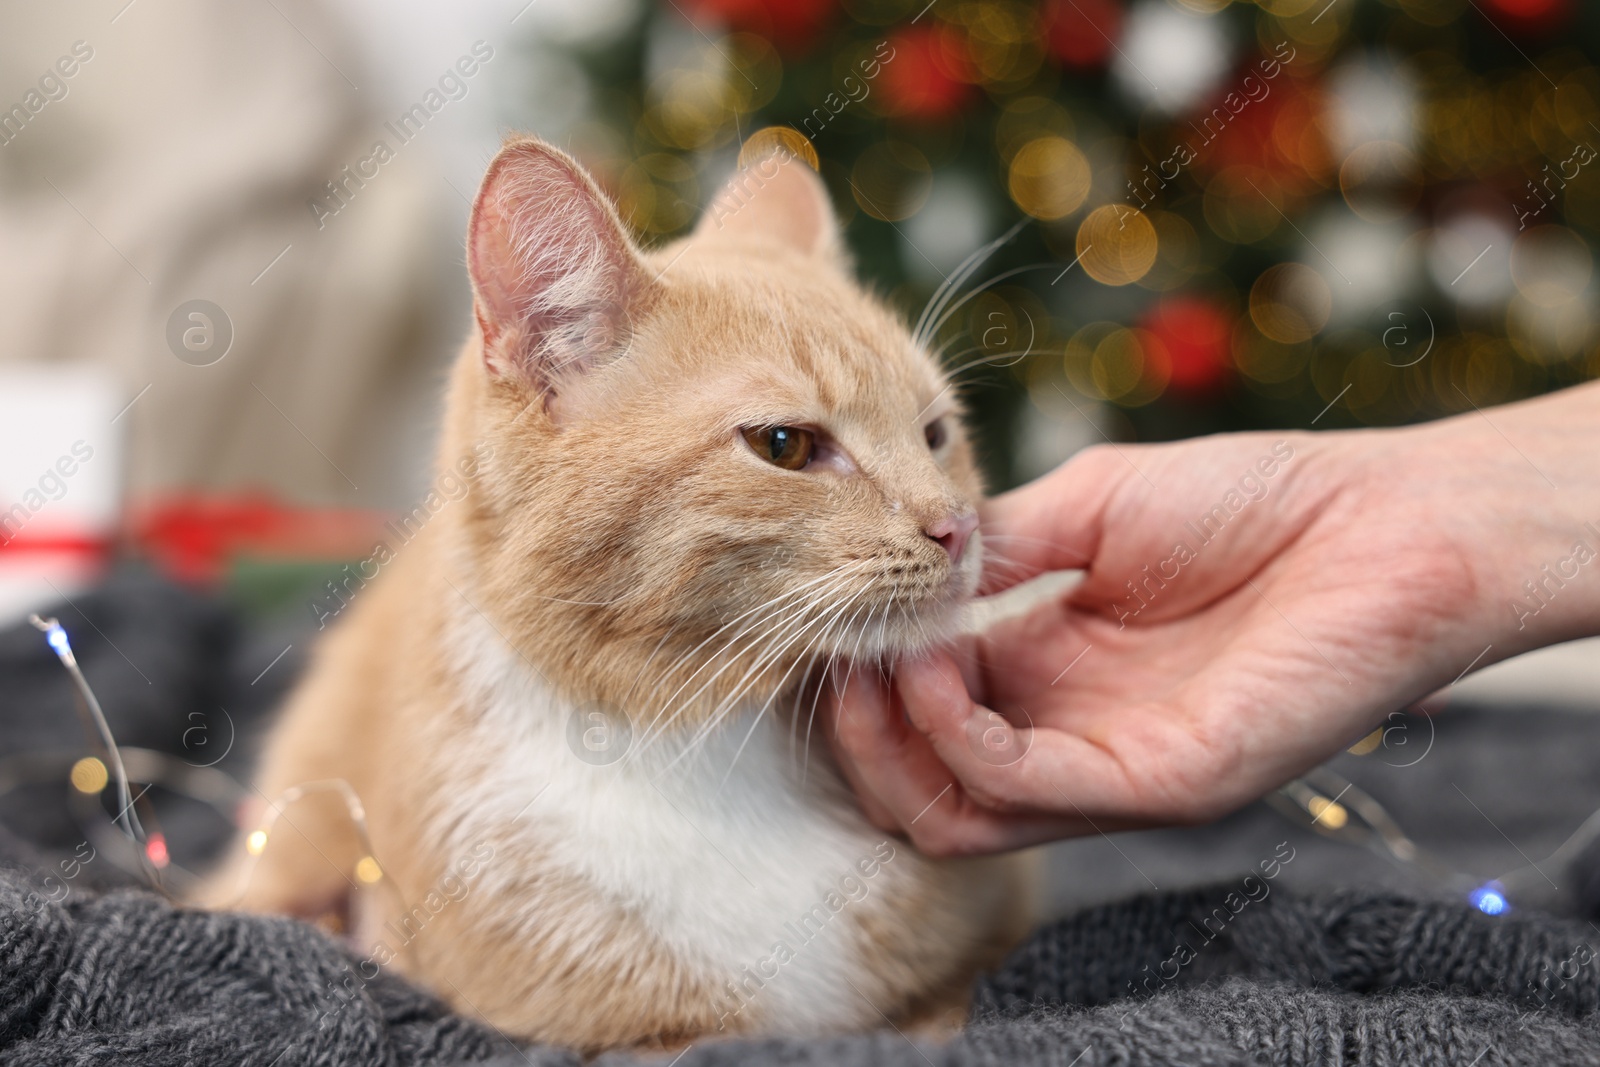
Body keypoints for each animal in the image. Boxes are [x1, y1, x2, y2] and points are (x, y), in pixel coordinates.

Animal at [206, 137, 1030, 1055]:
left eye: (936, 433)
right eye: (785, 444)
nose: (958, 526)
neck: (709, 741)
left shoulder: (975, 962)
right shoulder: (613, 1039)